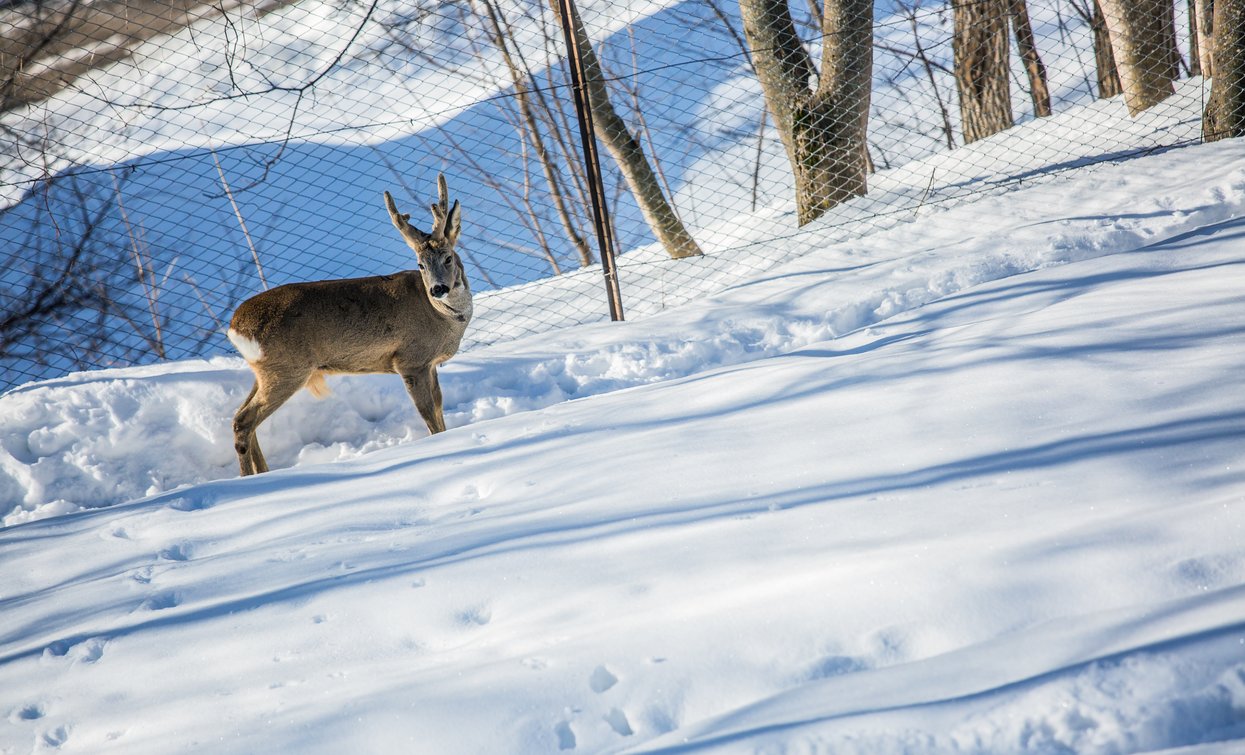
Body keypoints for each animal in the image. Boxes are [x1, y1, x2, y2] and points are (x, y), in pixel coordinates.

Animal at [226, 174, 468, 475]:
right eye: (421, 264)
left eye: (448, 258)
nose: (437, 289)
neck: (445, 319)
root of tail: (235, 326)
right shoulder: (411, 361)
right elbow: (429, 416)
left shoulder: (430, 363)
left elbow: (438, 407)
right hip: (287, 369)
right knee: (244, 420)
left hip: (263, 371)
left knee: (242, 418)